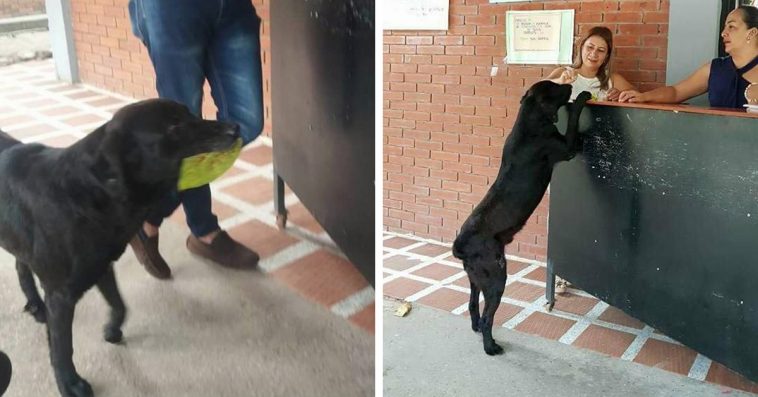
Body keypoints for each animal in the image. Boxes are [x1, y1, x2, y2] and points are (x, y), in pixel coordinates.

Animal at [0, 97, 240, 394]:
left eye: (189, 114)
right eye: (174, 127)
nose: (235, 127)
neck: (91, 192)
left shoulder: (102, 267)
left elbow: (120, 305)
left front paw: (112, 330)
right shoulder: (61, 295)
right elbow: (62, 348)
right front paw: (69, 384)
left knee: (21, 265)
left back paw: (34, 304)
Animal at [452, 81, 592, 356]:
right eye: (556, 87)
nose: (570, 83)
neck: (530, 120)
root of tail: (461, 244)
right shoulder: (566, 147)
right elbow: (573, 122)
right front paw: (581, 97)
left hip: (476, 279)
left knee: (473, 305)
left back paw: (477, 329)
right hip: (496, 278)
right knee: (488, 317)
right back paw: (491, 347)